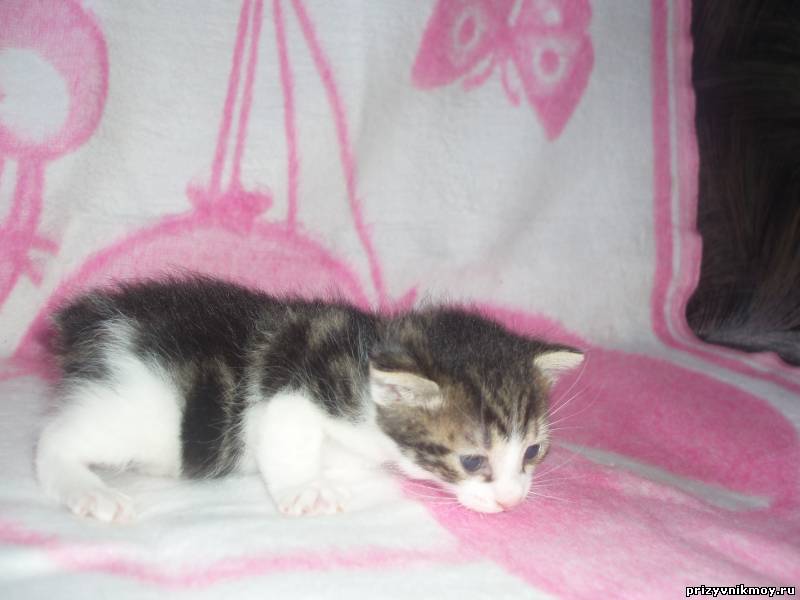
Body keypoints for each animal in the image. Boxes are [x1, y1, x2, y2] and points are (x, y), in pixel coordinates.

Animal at [35, 275, 584, 522]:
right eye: (472, 461)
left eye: (533, 452)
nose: (513, 500)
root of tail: (93, 321)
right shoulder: (296, 391)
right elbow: (285, 435)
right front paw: (304, 489)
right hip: (140, 408)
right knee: (52, 439)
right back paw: (89, 490)